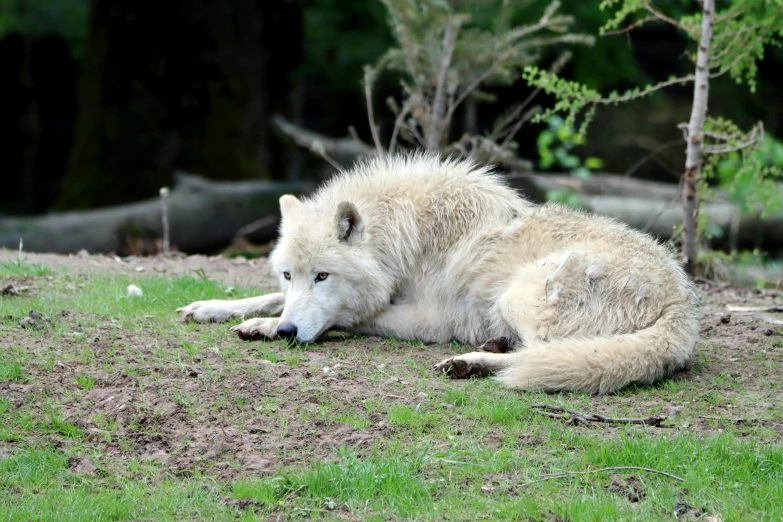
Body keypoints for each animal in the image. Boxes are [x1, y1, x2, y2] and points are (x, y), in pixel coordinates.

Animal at [179, 152, 704, 392]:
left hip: (519, 294)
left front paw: (268, 327)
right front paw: (217, 309)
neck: (407, 239)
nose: (289, 332)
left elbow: (347, 317)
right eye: (290, 275)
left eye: (323, 277)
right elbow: (268, 299)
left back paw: (470, 362)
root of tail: (681, 305)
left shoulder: (429, 319)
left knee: (548, 354)